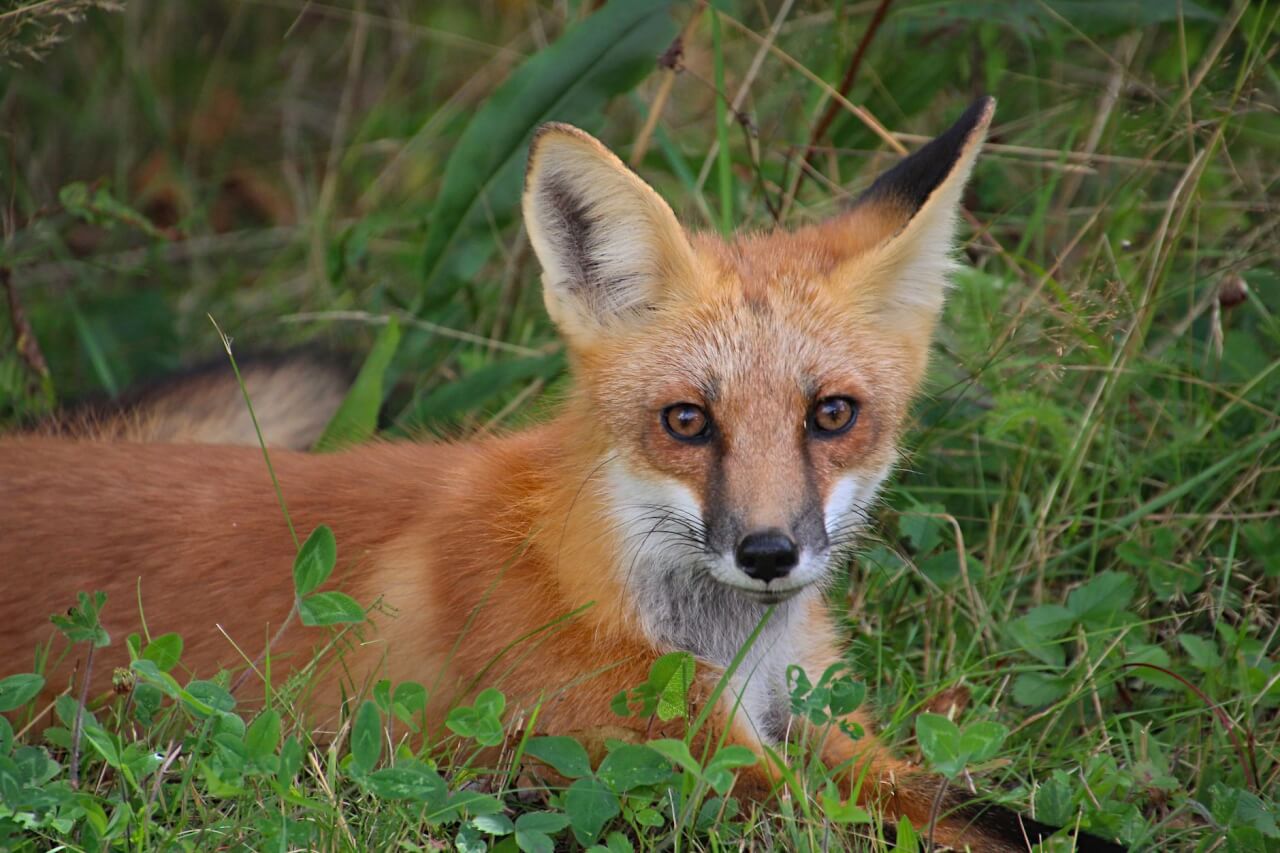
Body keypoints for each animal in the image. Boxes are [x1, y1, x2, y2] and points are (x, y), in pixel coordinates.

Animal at [0, 97, 1123, 851]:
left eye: (831, 416)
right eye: (686, 421)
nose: (768, 554)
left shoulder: (814, 725)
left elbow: (991, 812)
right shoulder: (684, 766)